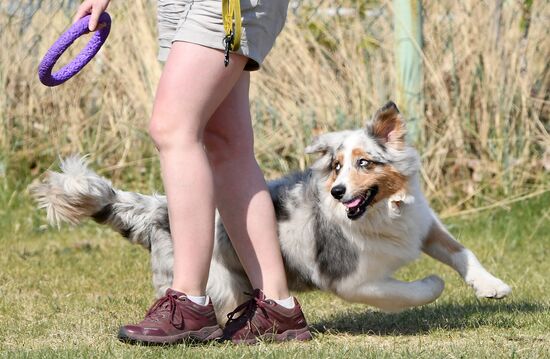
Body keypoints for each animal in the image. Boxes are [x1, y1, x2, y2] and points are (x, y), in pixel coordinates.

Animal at [32, 101, 512, 324]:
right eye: (335, 167)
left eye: (364, 163)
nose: (338, 192)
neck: (379, 214)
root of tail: (161, 210)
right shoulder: (352, 279)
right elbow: (404, 292)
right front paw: (432, 284)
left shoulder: (421, 224)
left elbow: (462, 251)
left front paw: (493, 286)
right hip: (218, 282)